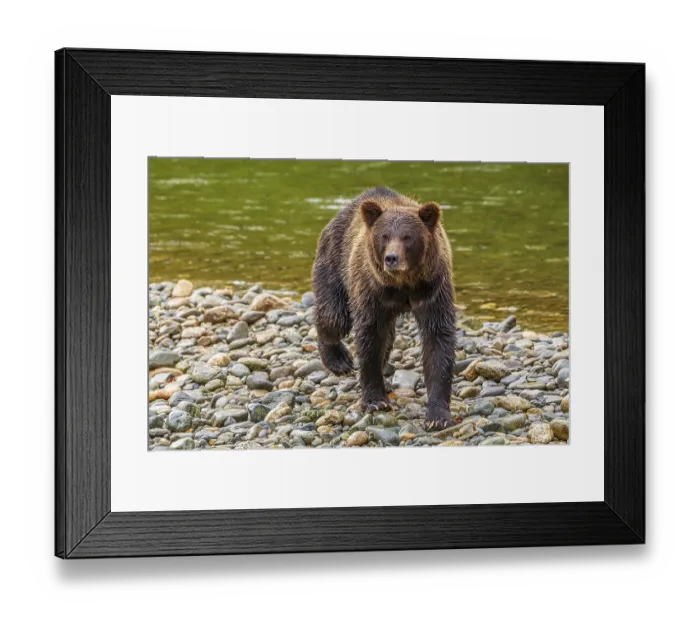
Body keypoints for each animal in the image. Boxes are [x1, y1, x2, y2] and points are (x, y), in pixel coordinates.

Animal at [312, 187, 456, 430]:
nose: (391, 258)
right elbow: (370, 337)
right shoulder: (371, 289)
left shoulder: (433, 288)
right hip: (335, 262)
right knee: (334, 316)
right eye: (385, 236)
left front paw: (437, 415)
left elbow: (438, 339)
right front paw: (375, 401)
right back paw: (338, 360)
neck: (403, 284)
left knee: (387, 336)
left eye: (407, 237)